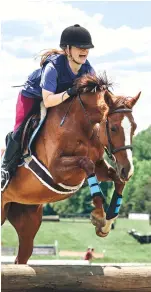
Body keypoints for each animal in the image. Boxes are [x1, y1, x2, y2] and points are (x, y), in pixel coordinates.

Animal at [1, 73, 140, 264]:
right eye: (113, 128)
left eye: (134, 127)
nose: (128, 170)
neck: (81, 123)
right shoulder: (56, 169)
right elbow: (86, 163)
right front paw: (98, 215)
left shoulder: (99, 166)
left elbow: (115, 179)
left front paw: (107, 222)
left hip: (26, 218)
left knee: (22, 256)